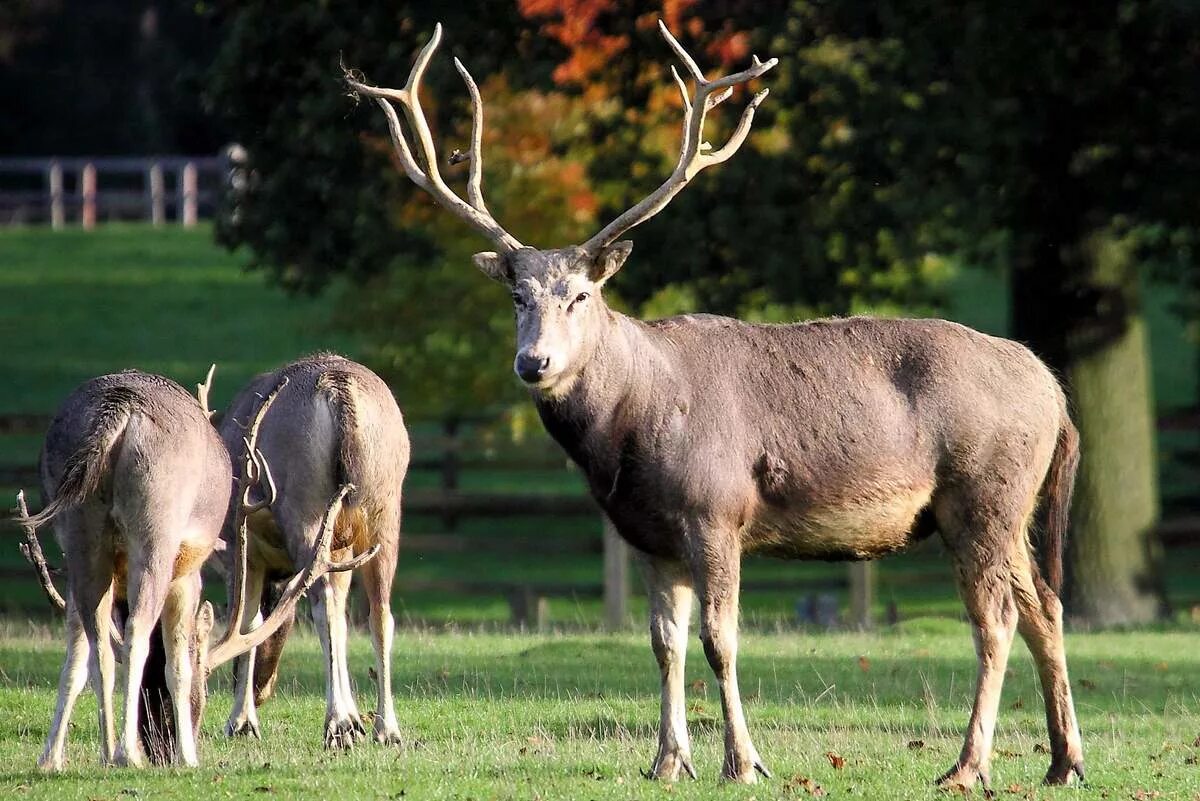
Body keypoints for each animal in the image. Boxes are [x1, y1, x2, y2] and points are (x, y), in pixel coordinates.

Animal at [17, 371, 374, 767]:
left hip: (80, 533)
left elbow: (77, 658)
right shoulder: (188, 574)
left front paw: (50, 758)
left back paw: (109, 752)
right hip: (159, 529)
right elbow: (178, 663)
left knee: (101, 648)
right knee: (137, 632)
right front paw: (188, 755)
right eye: (205, 687)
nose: (161, 749)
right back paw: (127, 754)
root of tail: (119, 414)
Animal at [220, 352, 412, 748]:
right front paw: (356, 716)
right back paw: (385, 728)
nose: (263, 691)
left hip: (304, 503)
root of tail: (339, 391)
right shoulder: (342, 550)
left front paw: (241, 721)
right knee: (379, 613)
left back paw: (336, 723)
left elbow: (248, 620)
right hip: (385, 511)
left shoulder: (240, 548)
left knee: (323, 603)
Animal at [343, 20, 1084, 786]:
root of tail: (1055, 392)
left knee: (996, 620)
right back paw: (1063, 762)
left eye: (581, 294)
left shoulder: (715, 509)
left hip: (983, 494)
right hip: (1011, 508)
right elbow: (663, 641)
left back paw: (967, 766)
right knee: (1046, 606)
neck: (628, 436)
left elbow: (718, 640)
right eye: (517, 295)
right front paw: (668, 760)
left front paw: (744, 760)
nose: (533, 362)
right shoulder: (646, 534)